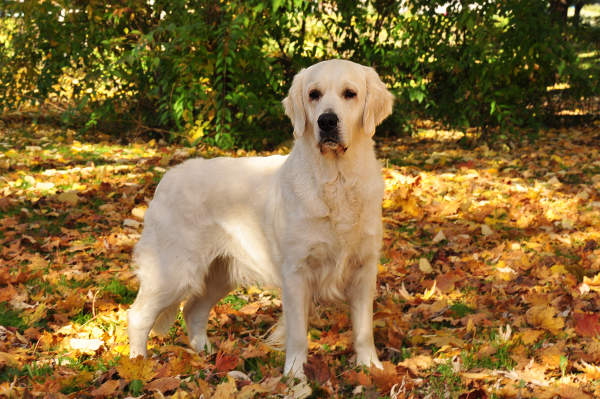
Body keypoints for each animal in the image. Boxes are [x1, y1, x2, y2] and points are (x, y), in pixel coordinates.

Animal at [127, 59, 394, 378]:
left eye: (350, 93)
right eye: (314, 94)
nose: (327, 122)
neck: (336, 180)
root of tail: (165, 179)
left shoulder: (364, 268)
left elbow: (364, 329)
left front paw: (371, 368)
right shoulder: (296, 272)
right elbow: (298, 335)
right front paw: (294, 376)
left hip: (219, 273)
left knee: (193, 311)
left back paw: (208, 355)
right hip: (174, 271)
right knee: (138, 315)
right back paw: (136, 366)